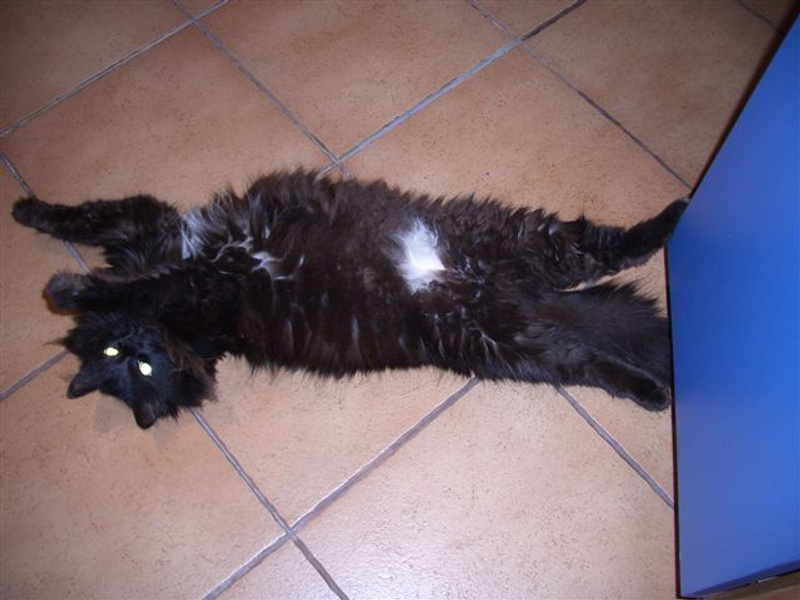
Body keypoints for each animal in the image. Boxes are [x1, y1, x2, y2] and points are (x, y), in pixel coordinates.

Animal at [12, 170, 686, 429]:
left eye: (133, 362)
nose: (132, 348)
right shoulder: (194, 275)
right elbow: (131, 271)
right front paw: (73, 282)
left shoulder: (162, 240)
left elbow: (90, 221)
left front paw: (39, 235)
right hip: (502, 343)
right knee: (584, 356)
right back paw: (653, 392)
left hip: (516, 238)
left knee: (610, 246)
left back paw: (677, 211)